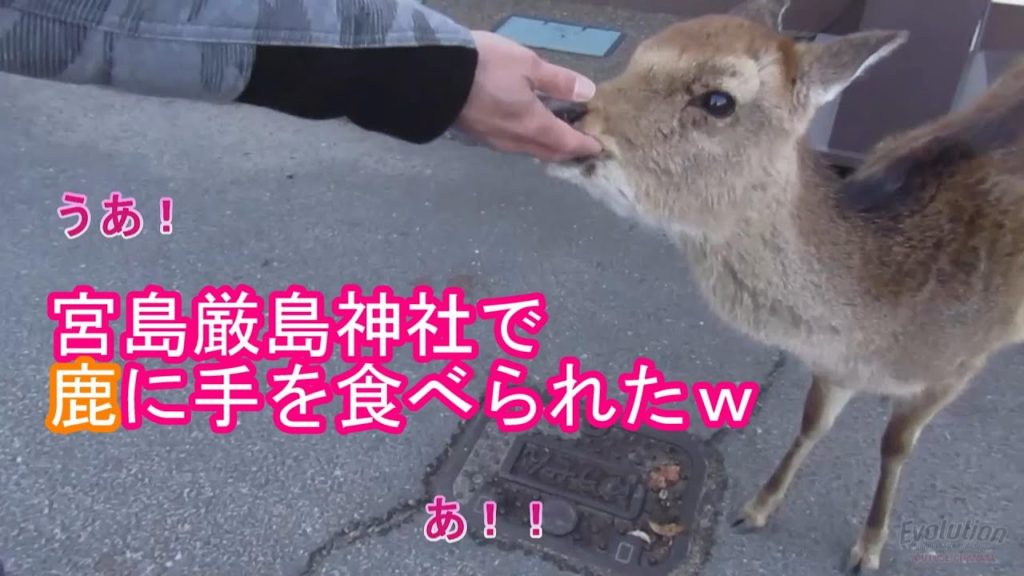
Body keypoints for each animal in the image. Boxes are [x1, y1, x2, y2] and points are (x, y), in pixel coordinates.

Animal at [544, 0, 1024, 571]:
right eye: (637, 60)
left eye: (718, 99)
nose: (564, 111)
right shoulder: (832, 364)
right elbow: (812, 422)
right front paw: (756, 508)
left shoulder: (956, 367)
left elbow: (894, 447)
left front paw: (867, 548)